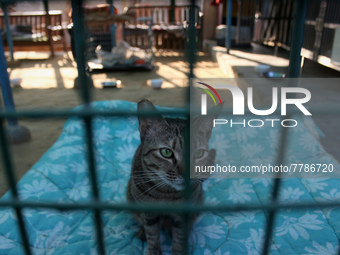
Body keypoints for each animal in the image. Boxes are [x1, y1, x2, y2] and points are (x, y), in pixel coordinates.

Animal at [126, 100, 216, 255]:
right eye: (166, 152)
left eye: (198, 154)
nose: (188, 174)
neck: (167, 193)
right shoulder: (148, 213)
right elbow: (153, 236)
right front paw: (153, 250)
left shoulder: (183, 216)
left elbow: (179, 238)